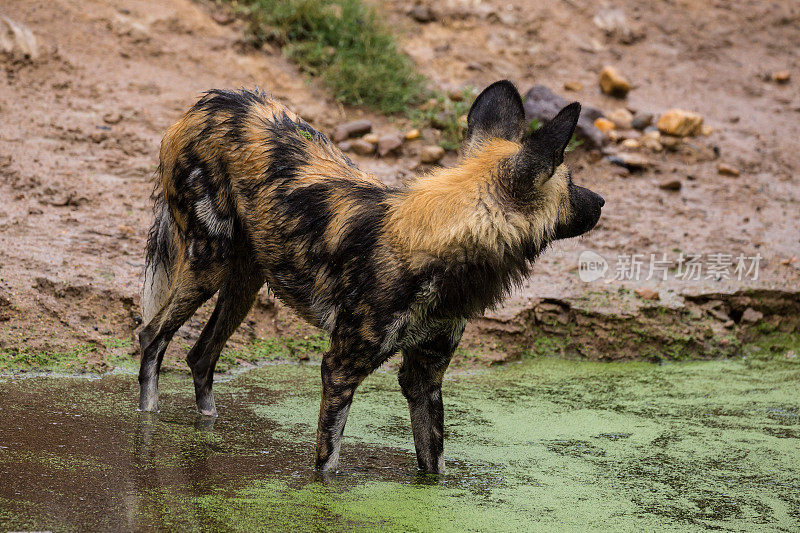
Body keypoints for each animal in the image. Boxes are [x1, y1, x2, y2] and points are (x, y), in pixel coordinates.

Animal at [139, 79, 600, 470]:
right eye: (570, 181)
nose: (602, 201)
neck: (443, 245)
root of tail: (211, 102)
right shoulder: (341, 368)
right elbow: (328, 464)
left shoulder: (425, 376)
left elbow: (433, 467)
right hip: (207, 265)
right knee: (152, 336)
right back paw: (147, 420)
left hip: (244, 283)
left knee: (200, 357)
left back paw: (208, 422)